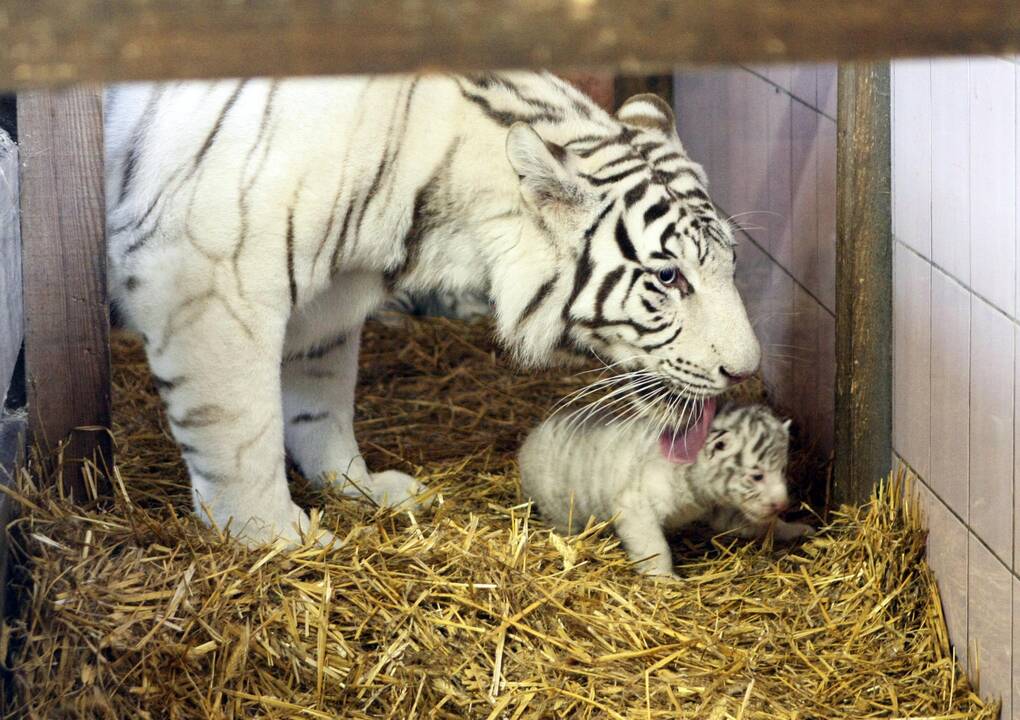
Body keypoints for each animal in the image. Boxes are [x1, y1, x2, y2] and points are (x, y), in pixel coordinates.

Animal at [103, 71, 762, 542]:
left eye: (729, 263)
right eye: (669, 277)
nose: (746, 372)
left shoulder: (326, 308)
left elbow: (320, 405)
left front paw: (359, 487)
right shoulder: (210, 278)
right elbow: (240, 433)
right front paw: (277, 540)